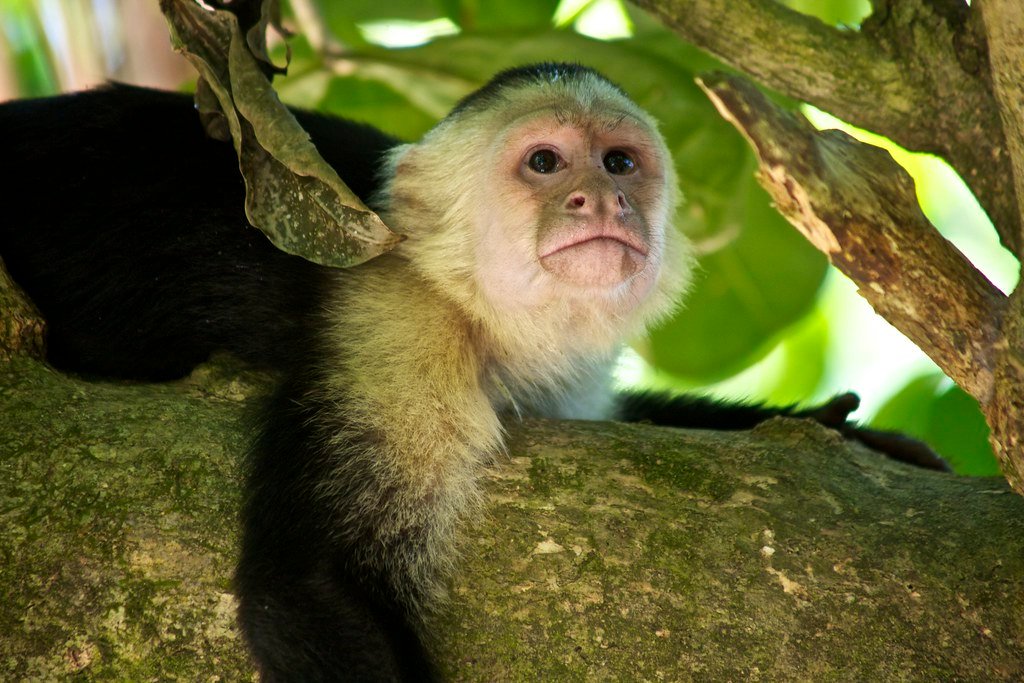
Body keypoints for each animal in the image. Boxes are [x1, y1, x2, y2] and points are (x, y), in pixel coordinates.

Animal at [0, 63, 947, 681]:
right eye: (544, 163)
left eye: (619, 162)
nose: (601, 201)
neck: (465, 297)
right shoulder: (395, 328)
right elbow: (302, 588)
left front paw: (842, 431)